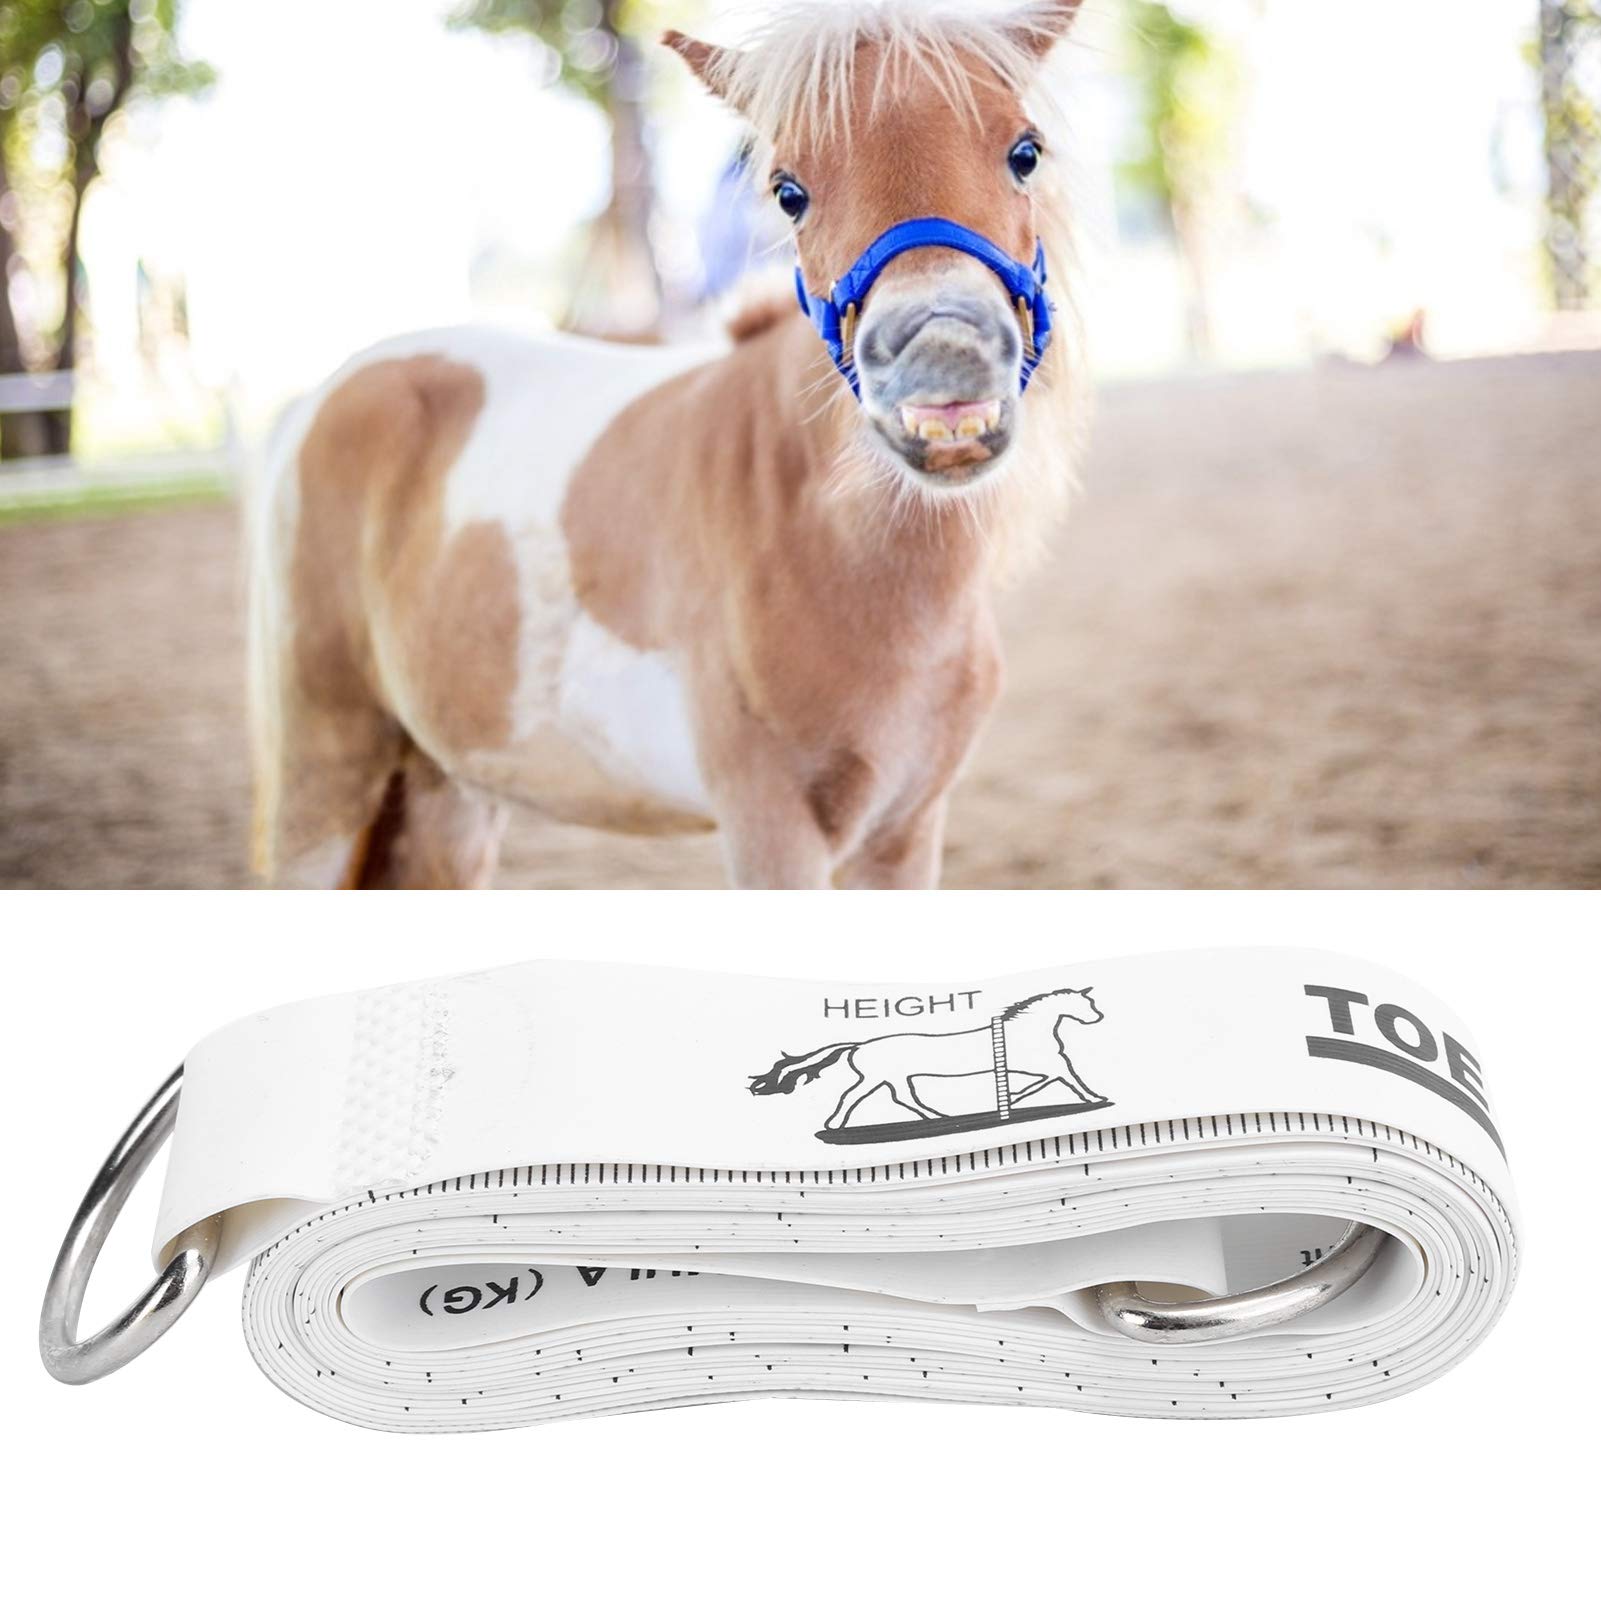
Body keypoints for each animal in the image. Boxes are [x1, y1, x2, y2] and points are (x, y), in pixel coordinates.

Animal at [248, 0, 1085, 889]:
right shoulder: (769, 832)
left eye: (1024, 152)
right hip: (324, 781)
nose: (941, 349)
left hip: (446, 793)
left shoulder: (904, 833)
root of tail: (326, 395)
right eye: (788, 192)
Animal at [748, 985, 1104, 1132]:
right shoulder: (1047, 1064)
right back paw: (835, 1125)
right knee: (855, 1096)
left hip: (892, 1078)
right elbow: (1069, 1077)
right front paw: (1096, 1099)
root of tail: (860, 1043)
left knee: (901, 1098)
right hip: (879, 1077)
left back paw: (938, 1117)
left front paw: (1012, 1100)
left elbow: (1046, 1082)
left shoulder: (1039, 1067)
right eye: (1086, 1004)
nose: (1098, 1018)